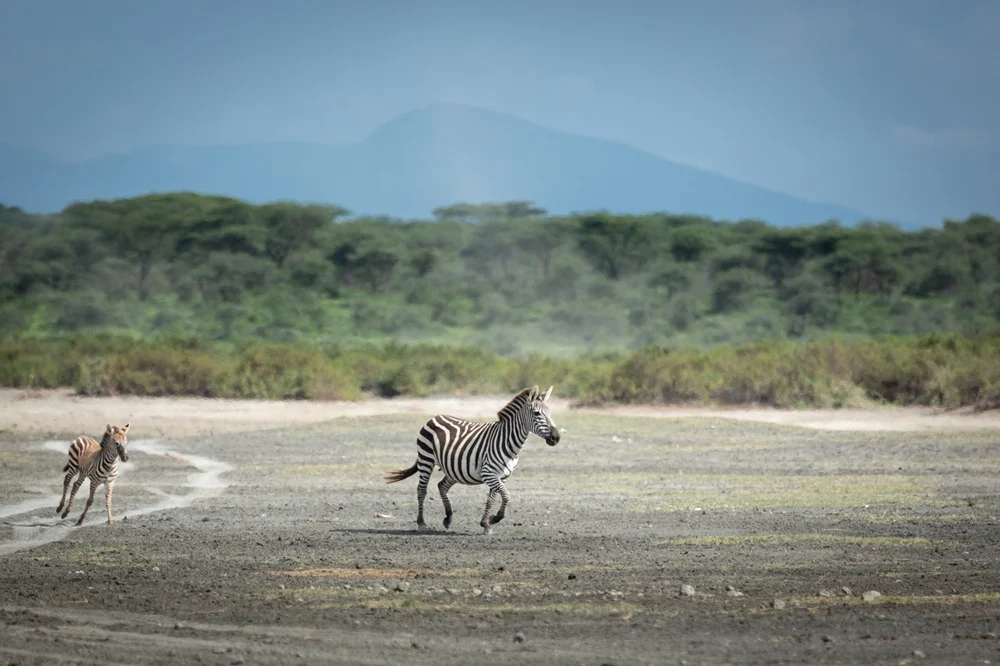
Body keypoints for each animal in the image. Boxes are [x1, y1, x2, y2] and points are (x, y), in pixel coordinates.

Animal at [385, 385, 560, 534]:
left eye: (551, 413)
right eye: (537, 413)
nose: (556, 438)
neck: (509, 442)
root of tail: (435, 417)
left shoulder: (500, 476)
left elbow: (492, 499)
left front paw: (486, 524)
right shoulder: (488, 474)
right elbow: (506, 495)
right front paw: (495, 519)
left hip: (454, 469)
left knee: (442, 486)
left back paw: (448, 518)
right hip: (426, 459)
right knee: (422, 490)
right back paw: (422, 523)